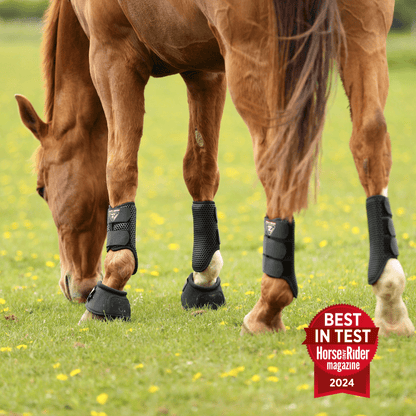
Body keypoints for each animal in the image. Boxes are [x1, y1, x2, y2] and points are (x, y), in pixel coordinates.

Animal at [15, 0, 412, 334]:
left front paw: (109, 289)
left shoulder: (111, 56)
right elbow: (200, 169)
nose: (76, 285)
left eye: (41, 189)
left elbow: (120, 167)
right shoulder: (204, 69)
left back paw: (268, 307)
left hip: (254, 56)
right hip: (363, 35)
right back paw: (390, 299)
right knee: (370, 141)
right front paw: (204, 281)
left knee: (276, 160)